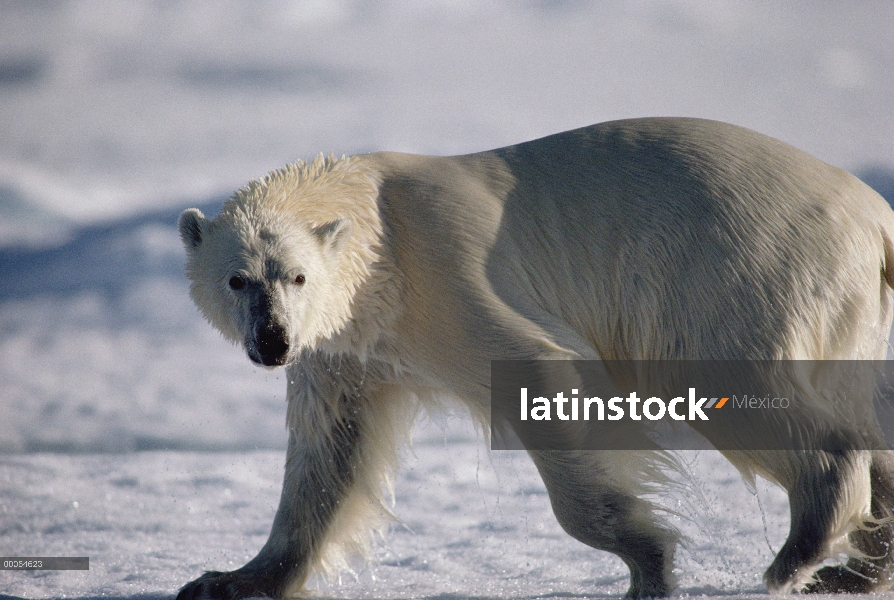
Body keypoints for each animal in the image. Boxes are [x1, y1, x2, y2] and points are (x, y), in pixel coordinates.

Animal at [178, 118, 894, 600]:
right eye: (237, 279)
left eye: (296, 276)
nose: (272, 341)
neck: (378, 236)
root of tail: (874, 213)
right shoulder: (347, 350)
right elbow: (331, 456)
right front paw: (225, 579)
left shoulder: (443, 272)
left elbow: (539, 371)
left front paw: (650, 564)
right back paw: (859, 565)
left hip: (736, 270)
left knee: (744, 391)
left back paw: (799, 556)